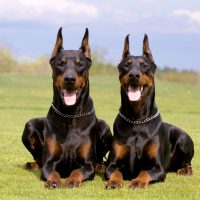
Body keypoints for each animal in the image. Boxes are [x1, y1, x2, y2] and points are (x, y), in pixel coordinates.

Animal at [22, 27, 112, 188]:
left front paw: (72, 180)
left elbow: (77, 171)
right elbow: (51, 170)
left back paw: (100, 166)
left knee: (100, 158)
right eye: (60, 64)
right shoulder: (49, 162)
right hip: (30, 125)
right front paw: (53, 181)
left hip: (105, 127)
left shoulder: (87, 164)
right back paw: (31, 164)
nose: (69, 79)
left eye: (80, 64)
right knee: (38, 160)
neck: (70, 114)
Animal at [105, 33, 195, 188]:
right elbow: (115, 172)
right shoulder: (112, 164)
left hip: (183, 139)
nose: (134, 75)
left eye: (144, 65)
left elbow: (144, 172)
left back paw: (185, 170)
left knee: (187, 163)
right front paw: (114, 182)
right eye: (126, 65)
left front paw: (137, 182)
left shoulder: (158, 168)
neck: (137, 119)